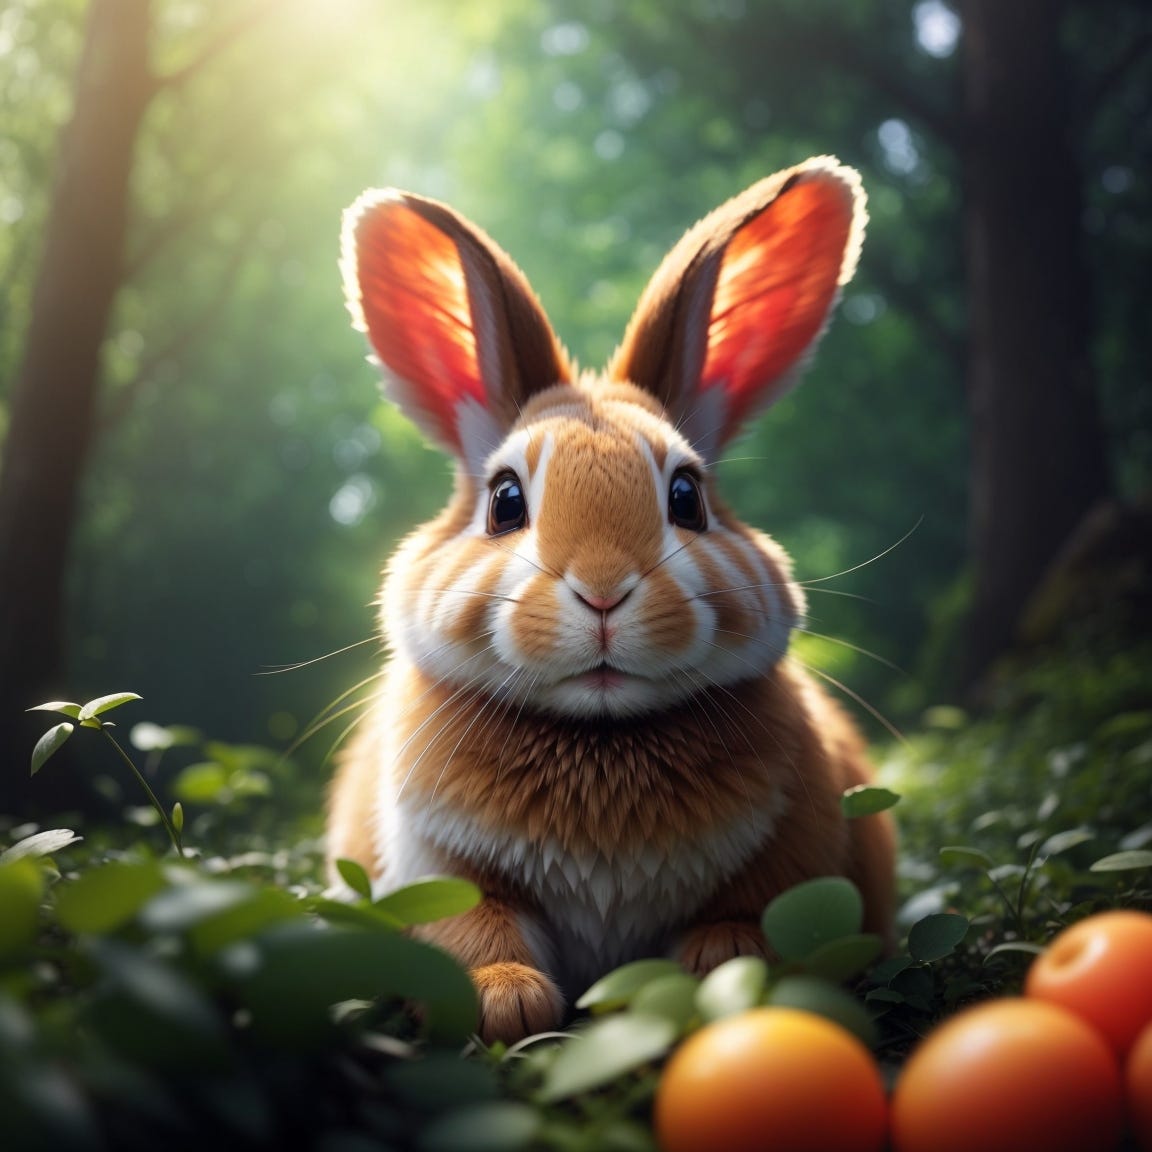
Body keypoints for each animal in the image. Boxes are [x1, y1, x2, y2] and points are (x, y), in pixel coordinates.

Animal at [327, 156, 897, 1044]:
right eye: (505, 501)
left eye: (687, 496)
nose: (602, 592)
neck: (599, 737)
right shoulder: (437, 868)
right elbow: (470, 932)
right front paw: (508, 1001)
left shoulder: (790, 854)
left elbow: (750, 923)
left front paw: (716, 973)